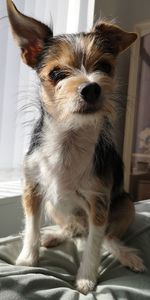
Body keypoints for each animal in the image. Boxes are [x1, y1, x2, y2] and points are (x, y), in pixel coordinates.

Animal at [6, 0, 145, 294]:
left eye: (104, 66)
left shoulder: (99, 203)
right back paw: (54, 235)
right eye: (57, 74)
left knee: (105, 236)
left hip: (125, 205)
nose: (91, 88)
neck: (68, 137)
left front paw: (86, 278)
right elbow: (31, 227)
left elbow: (94, 244)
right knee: (74, 228)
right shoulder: (32, 190)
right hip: (53, 205)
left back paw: (126, 255)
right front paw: (28, 258)